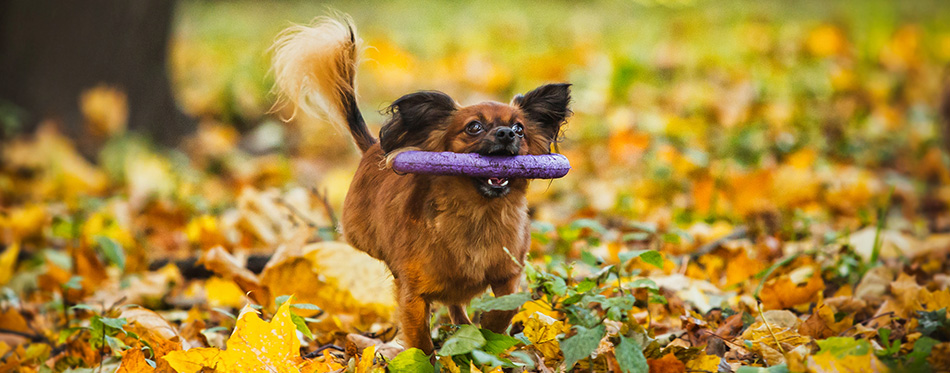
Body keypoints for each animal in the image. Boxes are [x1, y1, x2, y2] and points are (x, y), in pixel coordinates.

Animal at [276, 16, 572, 354]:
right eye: (474, 127)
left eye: (520, 129)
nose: (507, 133)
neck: (480, 215)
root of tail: (373, 147)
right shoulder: (413, 295)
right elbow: (421, 343)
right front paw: (433, 357)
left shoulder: (508, 277)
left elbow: (502, 312)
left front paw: (485, 342)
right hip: (361, 236)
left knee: (456, 304)